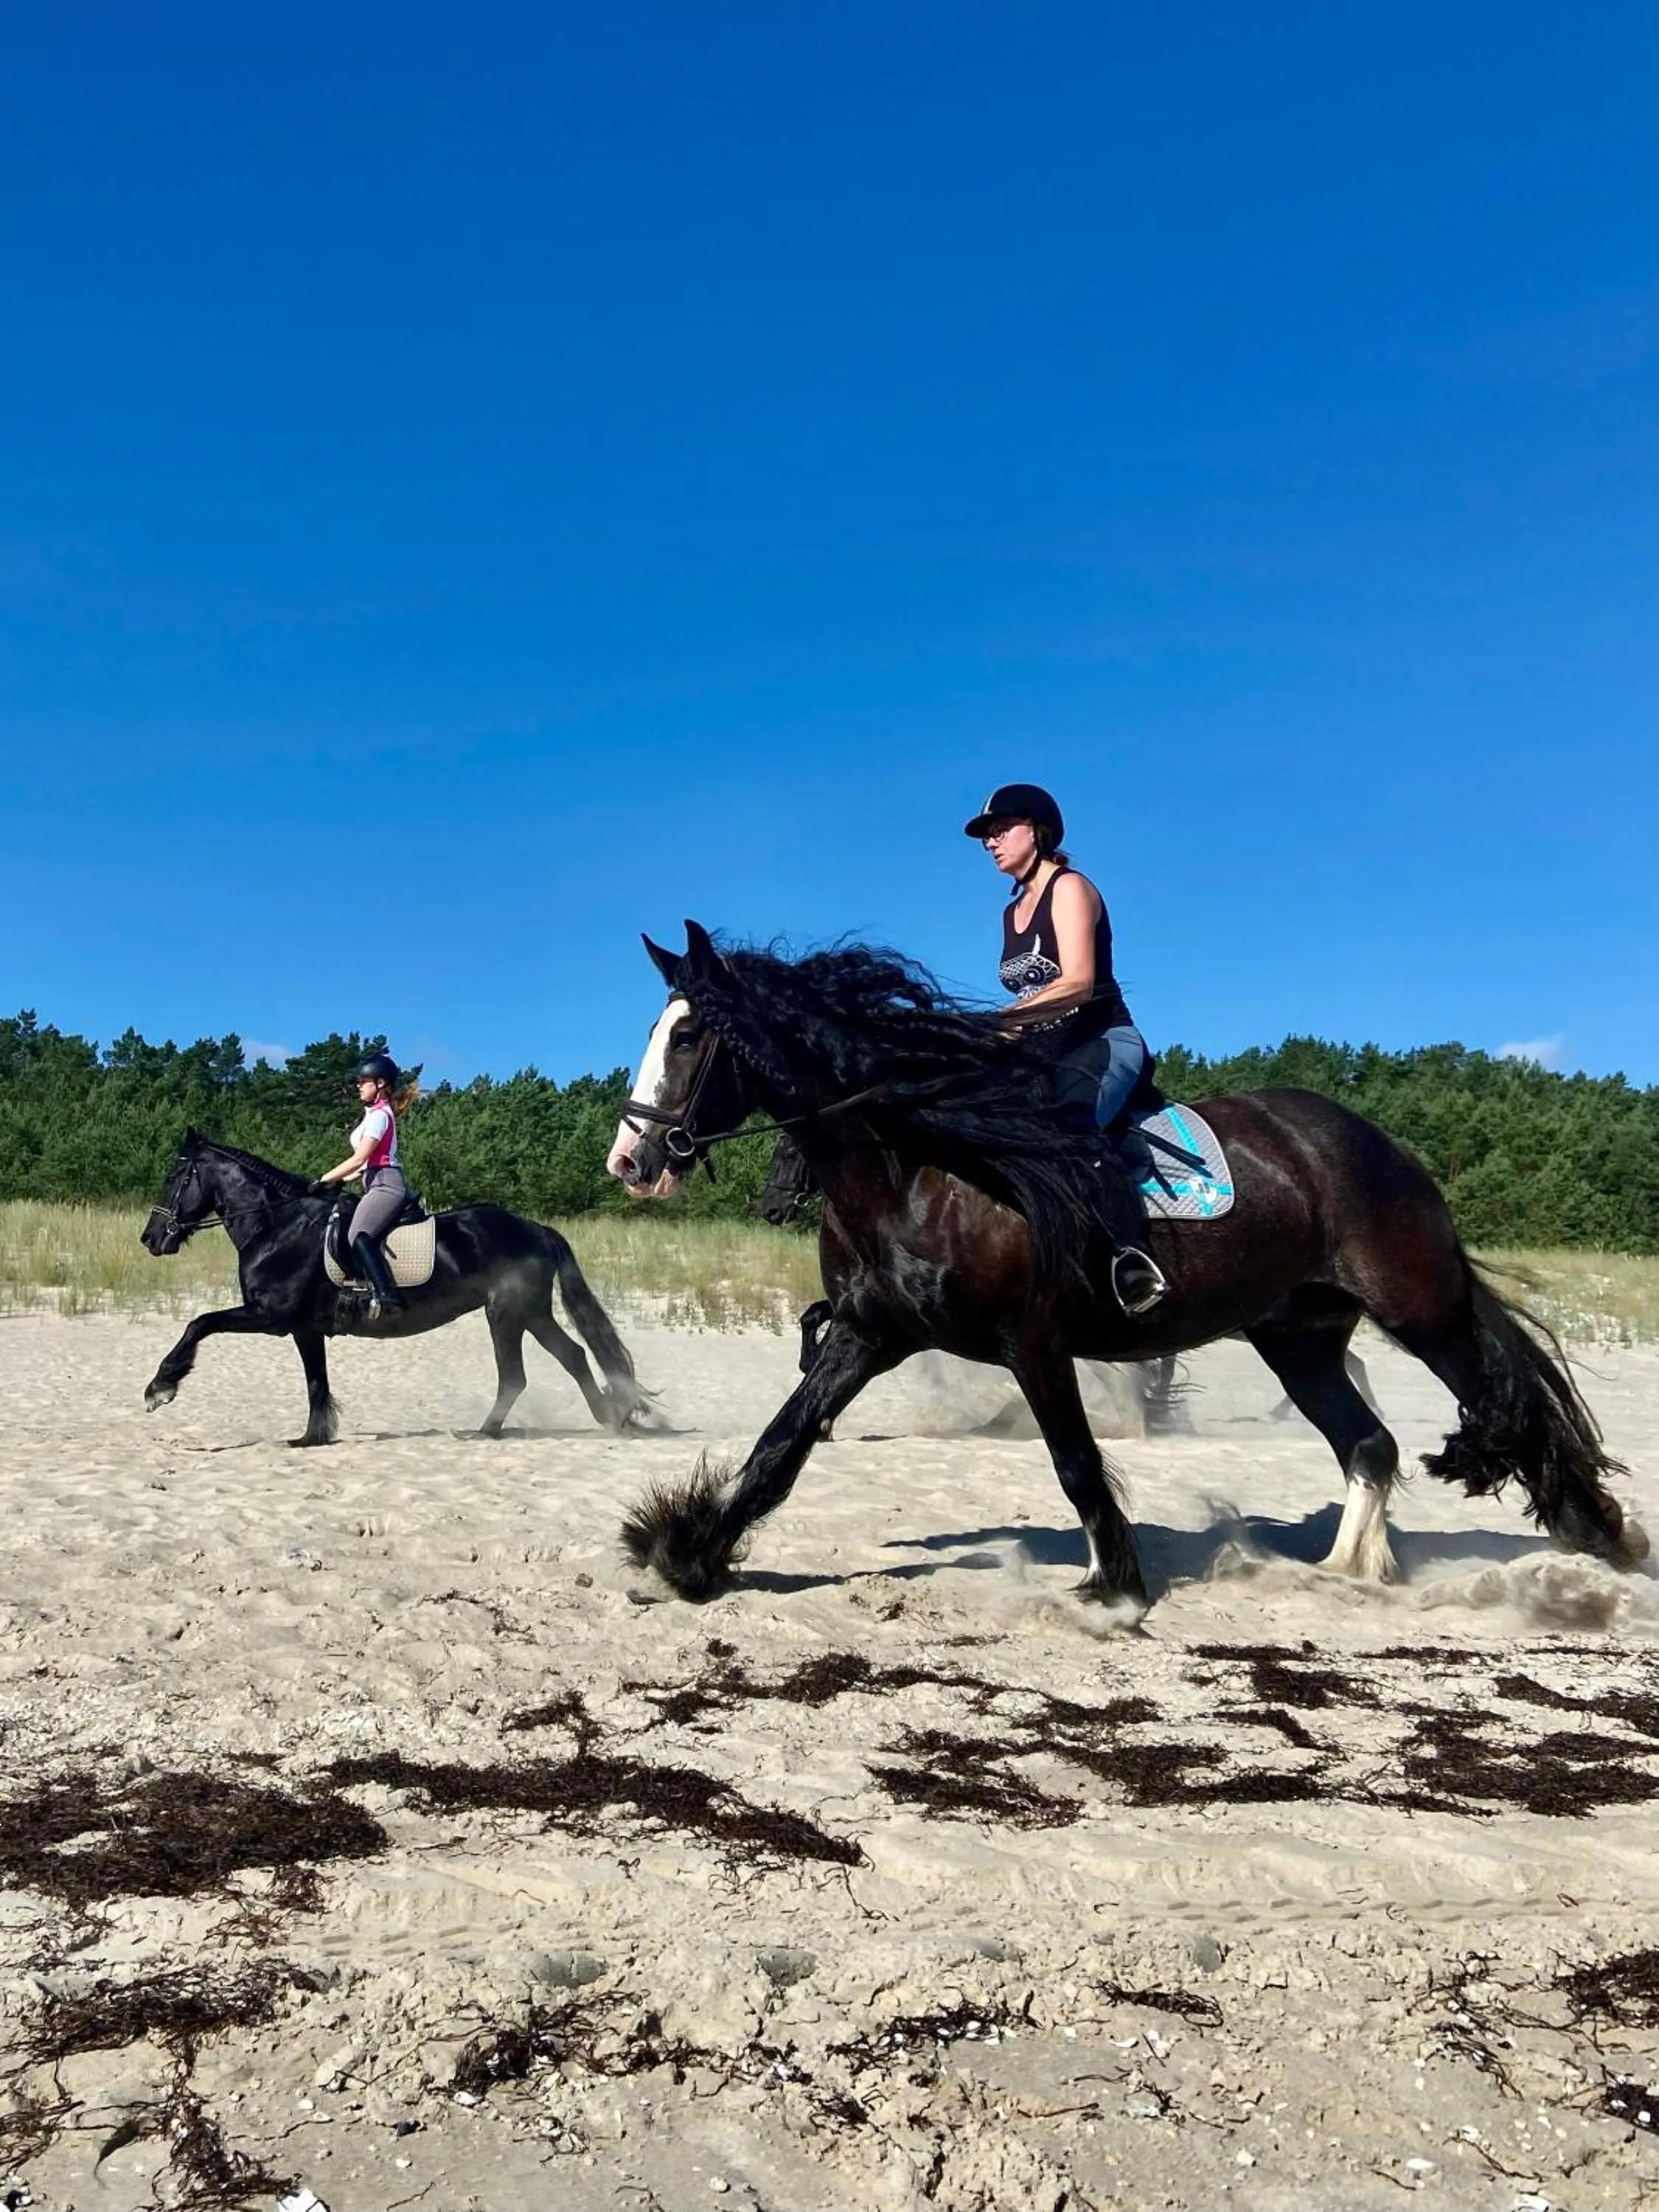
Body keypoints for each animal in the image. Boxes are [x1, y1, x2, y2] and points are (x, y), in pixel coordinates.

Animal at [141, 1130, 648, 1444]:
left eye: (174, 1177)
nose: (151, 1239)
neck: (278, 1227)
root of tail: (536, 1229)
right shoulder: (304, 1328)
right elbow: (316, 1381)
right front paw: (312, 1438)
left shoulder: (271, 1316)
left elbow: (199, 1323)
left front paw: (161, 1387)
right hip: (530, 1313)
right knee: (573, 1355)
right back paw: (610, 1417)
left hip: (507, 1312)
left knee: (517, 1376)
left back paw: (486, 1432)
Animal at [605, 923, 1640, 1615]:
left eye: (688, 1037)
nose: (631, 1160)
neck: (917, 1165)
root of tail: (1379, 1143)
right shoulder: (868, 1333)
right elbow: (779, 1447)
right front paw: (689, 1553)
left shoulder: (1031, 1342)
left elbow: (1074, 1459)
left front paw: (1115, 1586)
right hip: (1299, 1337)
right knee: (1371, 1443)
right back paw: (1346, 1574)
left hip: (1421, 1309)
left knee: (1506, 1398)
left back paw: (1600, 1539)